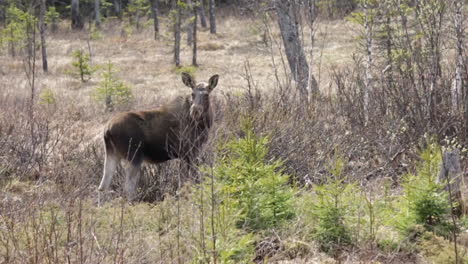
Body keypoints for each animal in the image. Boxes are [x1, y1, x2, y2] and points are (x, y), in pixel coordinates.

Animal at [98, 72, 219, 200]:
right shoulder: (188, 152)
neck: (203, 125)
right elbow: (190, 181)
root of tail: (107, 130)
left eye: (206, 95)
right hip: (134, 156)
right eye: (192, 94)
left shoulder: (185, 155)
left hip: (111, 153)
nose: (195, 111)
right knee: (129, 189)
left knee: (102, 186)